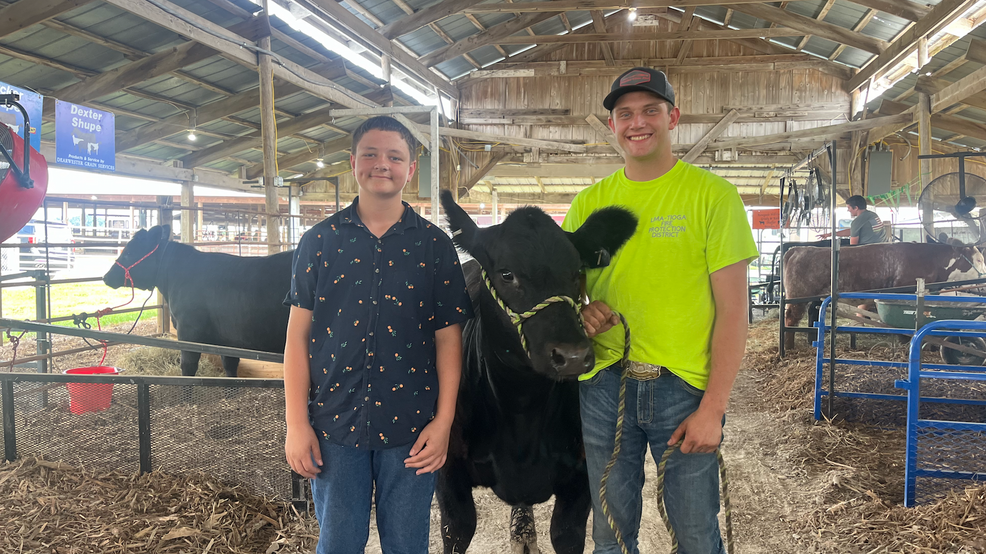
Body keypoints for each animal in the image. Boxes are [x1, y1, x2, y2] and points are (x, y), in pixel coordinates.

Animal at [103, 224, 290, 376]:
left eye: (129, 253)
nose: (106, 277)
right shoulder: (226, 341)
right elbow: (230, 366)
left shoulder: (188, 332)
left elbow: (188, 366)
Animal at [434, 191, 636, 552]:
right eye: (506, 274)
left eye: (576, 270)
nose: (572, 356)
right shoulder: (447, 475)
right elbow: (457, 530)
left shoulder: (582, 476)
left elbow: (565, 533)